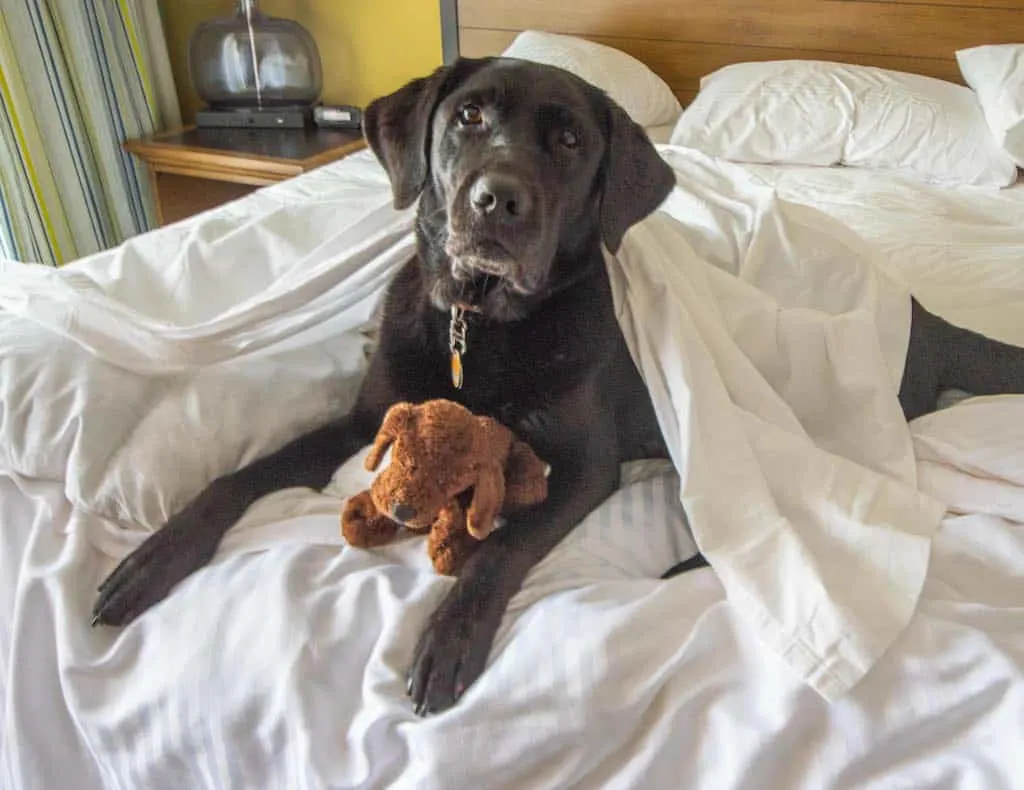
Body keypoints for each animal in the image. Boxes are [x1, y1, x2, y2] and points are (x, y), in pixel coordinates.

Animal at [92, 58, 1024, 721]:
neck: (481, 324)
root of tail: (922, 314)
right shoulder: (367, 417)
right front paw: (150, 560)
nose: (495, 202)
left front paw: (450, 635)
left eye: (571, 142)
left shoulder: (582, 468)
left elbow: (499, 548)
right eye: (468, 117)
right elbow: (235, 477)